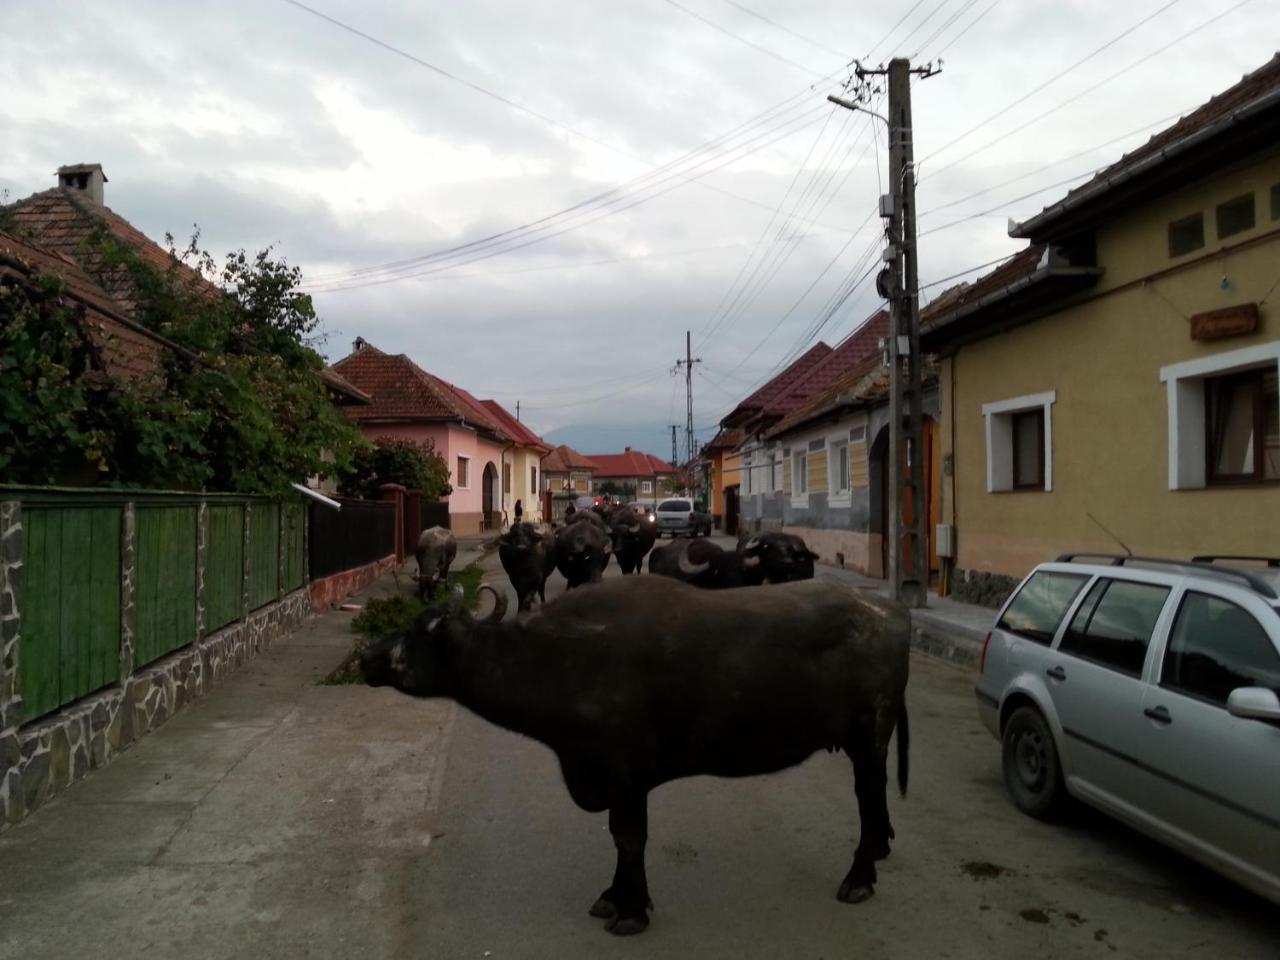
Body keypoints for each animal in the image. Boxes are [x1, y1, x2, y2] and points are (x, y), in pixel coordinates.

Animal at [360, 578, 911, 942]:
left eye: (414, 635)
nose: (365, 658)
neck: (558, 659)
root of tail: (890, 611)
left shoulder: (625, 776)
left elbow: (628, 838)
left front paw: (629, 909)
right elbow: (620, 840)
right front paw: (615, 895)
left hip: (870, 735)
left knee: (867, 798)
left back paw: (859, 877)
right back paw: (881, 850)